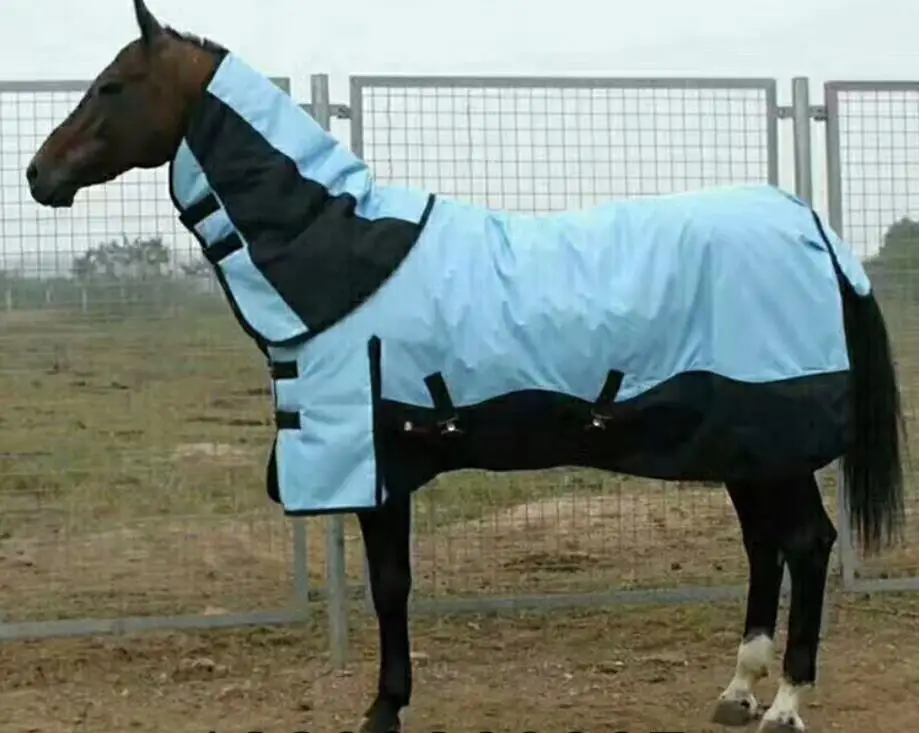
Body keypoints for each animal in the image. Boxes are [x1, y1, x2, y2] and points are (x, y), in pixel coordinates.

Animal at [27, 2, 906, 731]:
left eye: (112, 85)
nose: (39, 175)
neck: (346, 251)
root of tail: (813, 229)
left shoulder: (380, 463)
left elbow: (390, 584)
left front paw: (383, 707)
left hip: (771, 440)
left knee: (806, 543)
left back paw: (784, 703)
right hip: (745, 445)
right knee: (765, 546)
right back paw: (735, 690)